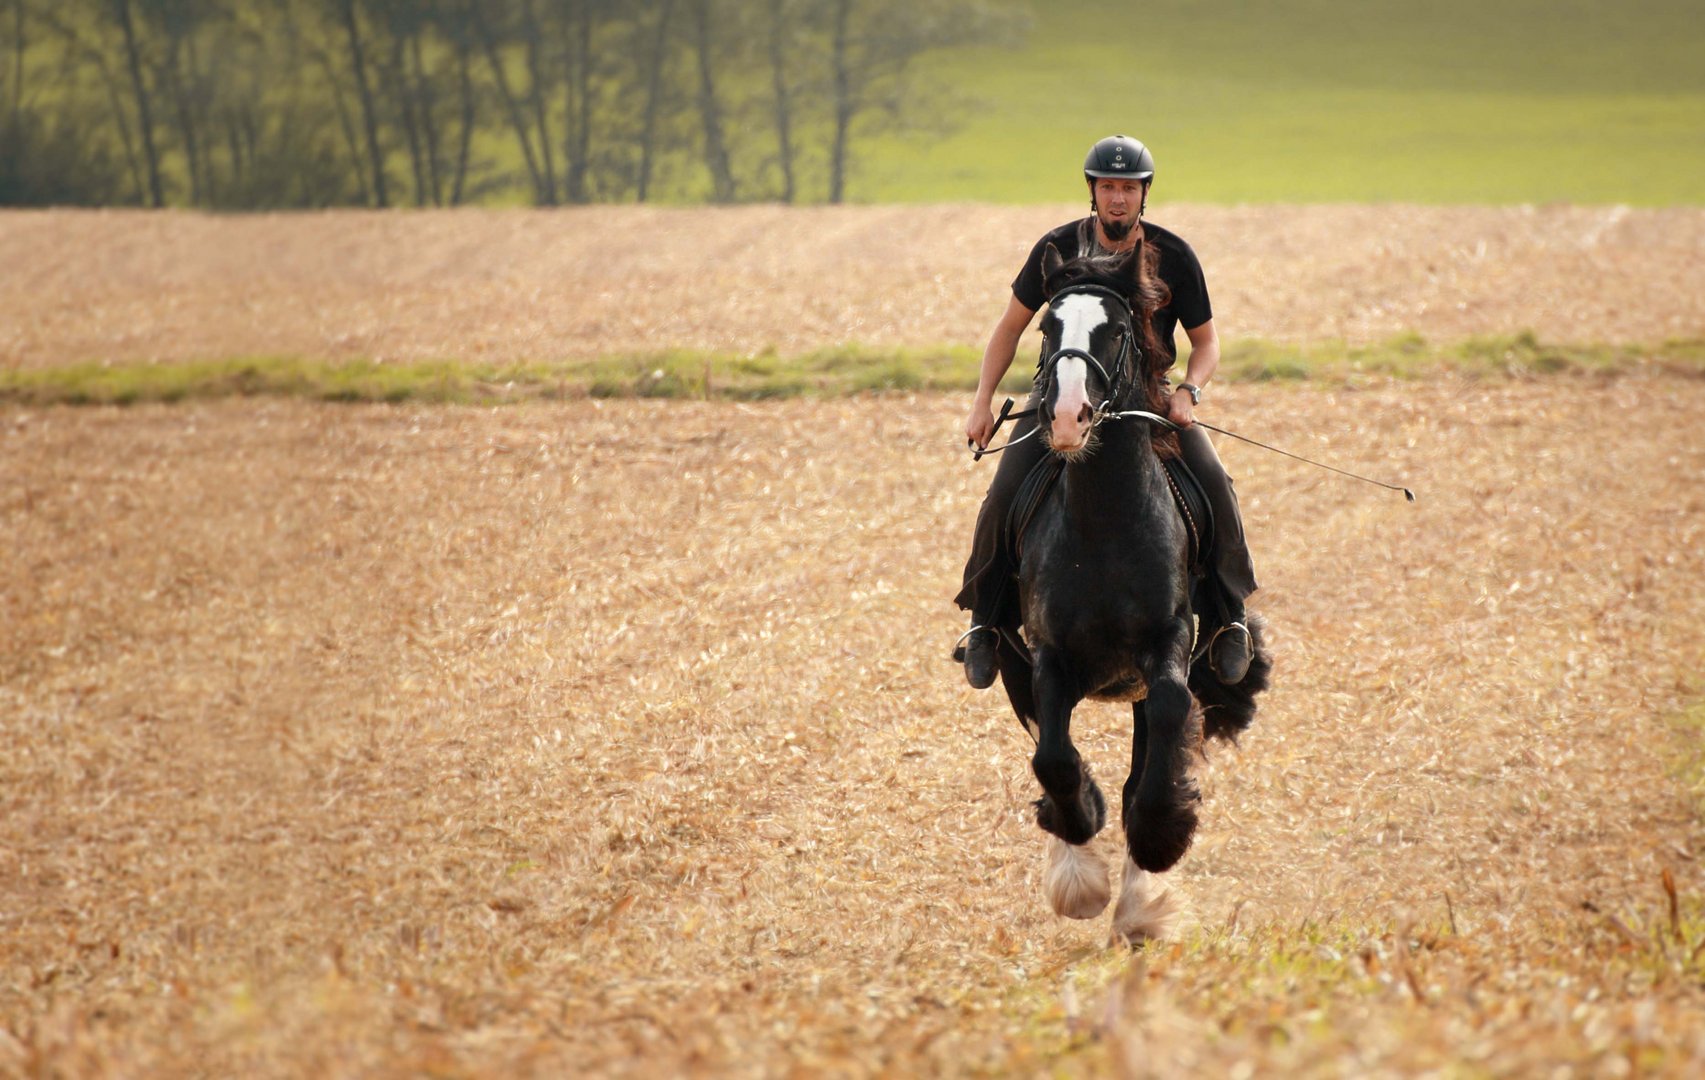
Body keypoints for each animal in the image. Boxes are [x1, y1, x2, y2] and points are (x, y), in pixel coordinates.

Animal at [988, 240, 1268, 941]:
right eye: (1048, 327)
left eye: (1114, 331)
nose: (1065, 418)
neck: (1104, 521)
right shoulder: (1046, 656)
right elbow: (1054, 756)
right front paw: (1079, 875)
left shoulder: (1167, 644)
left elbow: (1164, 733)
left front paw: (1157, 848)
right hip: (1008, 661)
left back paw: (1141, 903)